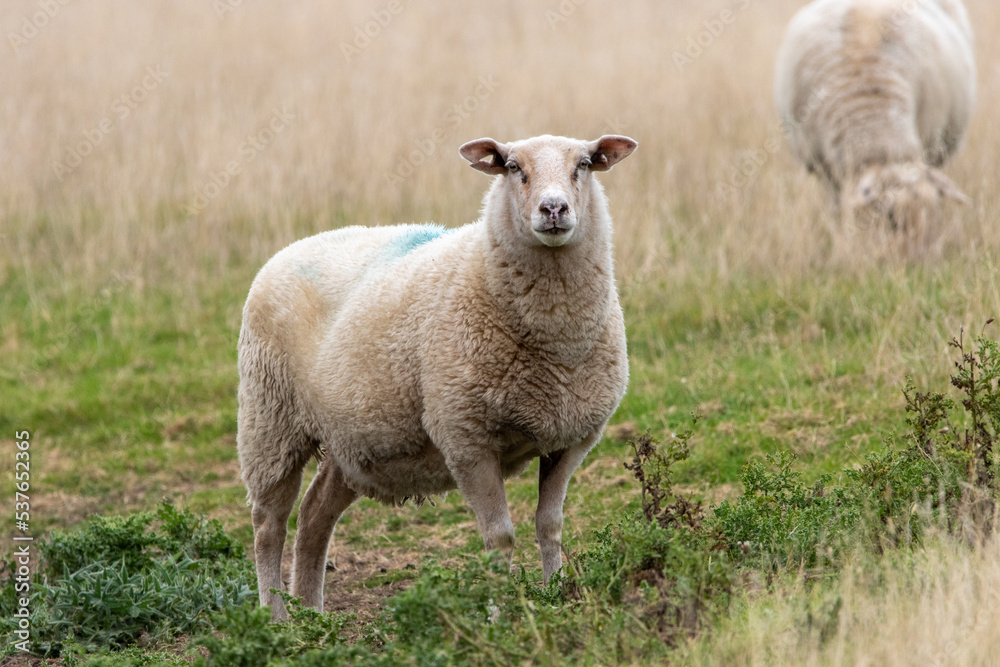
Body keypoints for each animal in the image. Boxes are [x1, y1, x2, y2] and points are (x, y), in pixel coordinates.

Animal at [238, 133, 636, 620]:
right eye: (512, 167)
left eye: (584, 164)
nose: (554, 209)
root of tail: (288, 250)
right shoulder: (466, 438)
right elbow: (499, 538)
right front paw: (499, 618)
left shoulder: (570, 438)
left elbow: (551, 525)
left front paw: (557, 599)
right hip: (268, 421)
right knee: (268, 524)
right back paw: (275, 617)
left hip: (349, 441)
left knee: (314, 514)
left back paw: (312, 615)